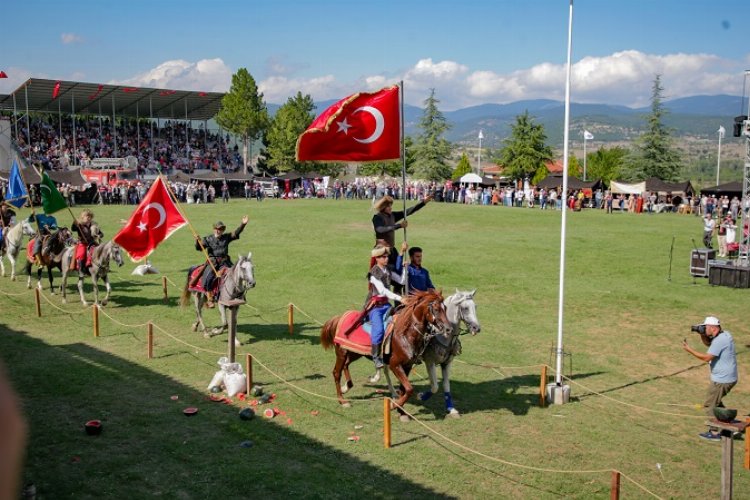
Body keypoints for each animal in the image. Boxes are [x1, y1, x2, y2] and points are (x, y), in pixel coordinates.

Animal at [322, 290, 452, 418]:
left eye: (445, 308)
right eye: (436, 309)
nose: (448, 329)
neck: (405, 335)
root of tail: (340, 317)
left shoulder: (407, 365)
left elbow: (404, 389)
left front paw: (401, 411)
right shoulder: (395, 365)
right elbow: (409, 389)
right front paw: (393, 406)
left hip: (355, 352)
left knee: (346, 365)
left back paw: (346, 387)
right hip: (342, 353)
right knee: (336, 373)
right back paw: (342, 400)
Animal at [418, 290, 482, 418]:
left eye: (475, 306)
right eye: (465, 308)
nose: (476, 328)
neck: (441, 335)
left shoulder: (447, 363)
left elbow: (446, 385)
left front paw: (451, 409)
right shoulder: (429, 362)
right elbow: (435, 387)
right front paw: (422, 396)